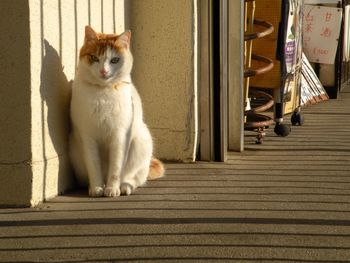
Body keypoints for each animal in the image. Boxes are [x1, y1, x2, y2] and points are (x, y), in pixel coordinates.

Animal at [70, 25, 166, 197]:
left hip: (141, 141)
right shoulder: (87, 136)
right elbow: (93, 166)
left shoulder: (120, 135)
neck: (103, 92)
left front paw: (112, 188)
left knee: (135, 177)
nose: (104, 71)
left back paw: (125, 187)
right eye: (94, 58)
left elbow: (116, 167)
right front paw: (96, 188)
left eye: (114, 60)